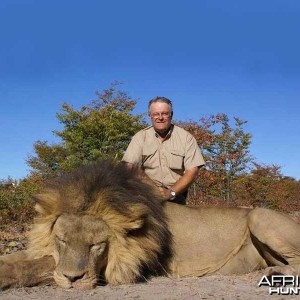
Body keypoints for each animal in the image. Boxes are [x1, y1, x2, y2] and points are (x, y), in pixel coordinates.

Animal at [0, 161, 300, 290]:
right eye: (61, 240)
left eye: (97, 246)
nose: (73, 279)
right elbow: (26, 258)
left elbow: (39, 266)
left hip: (259, 216)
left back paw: (274, 273)